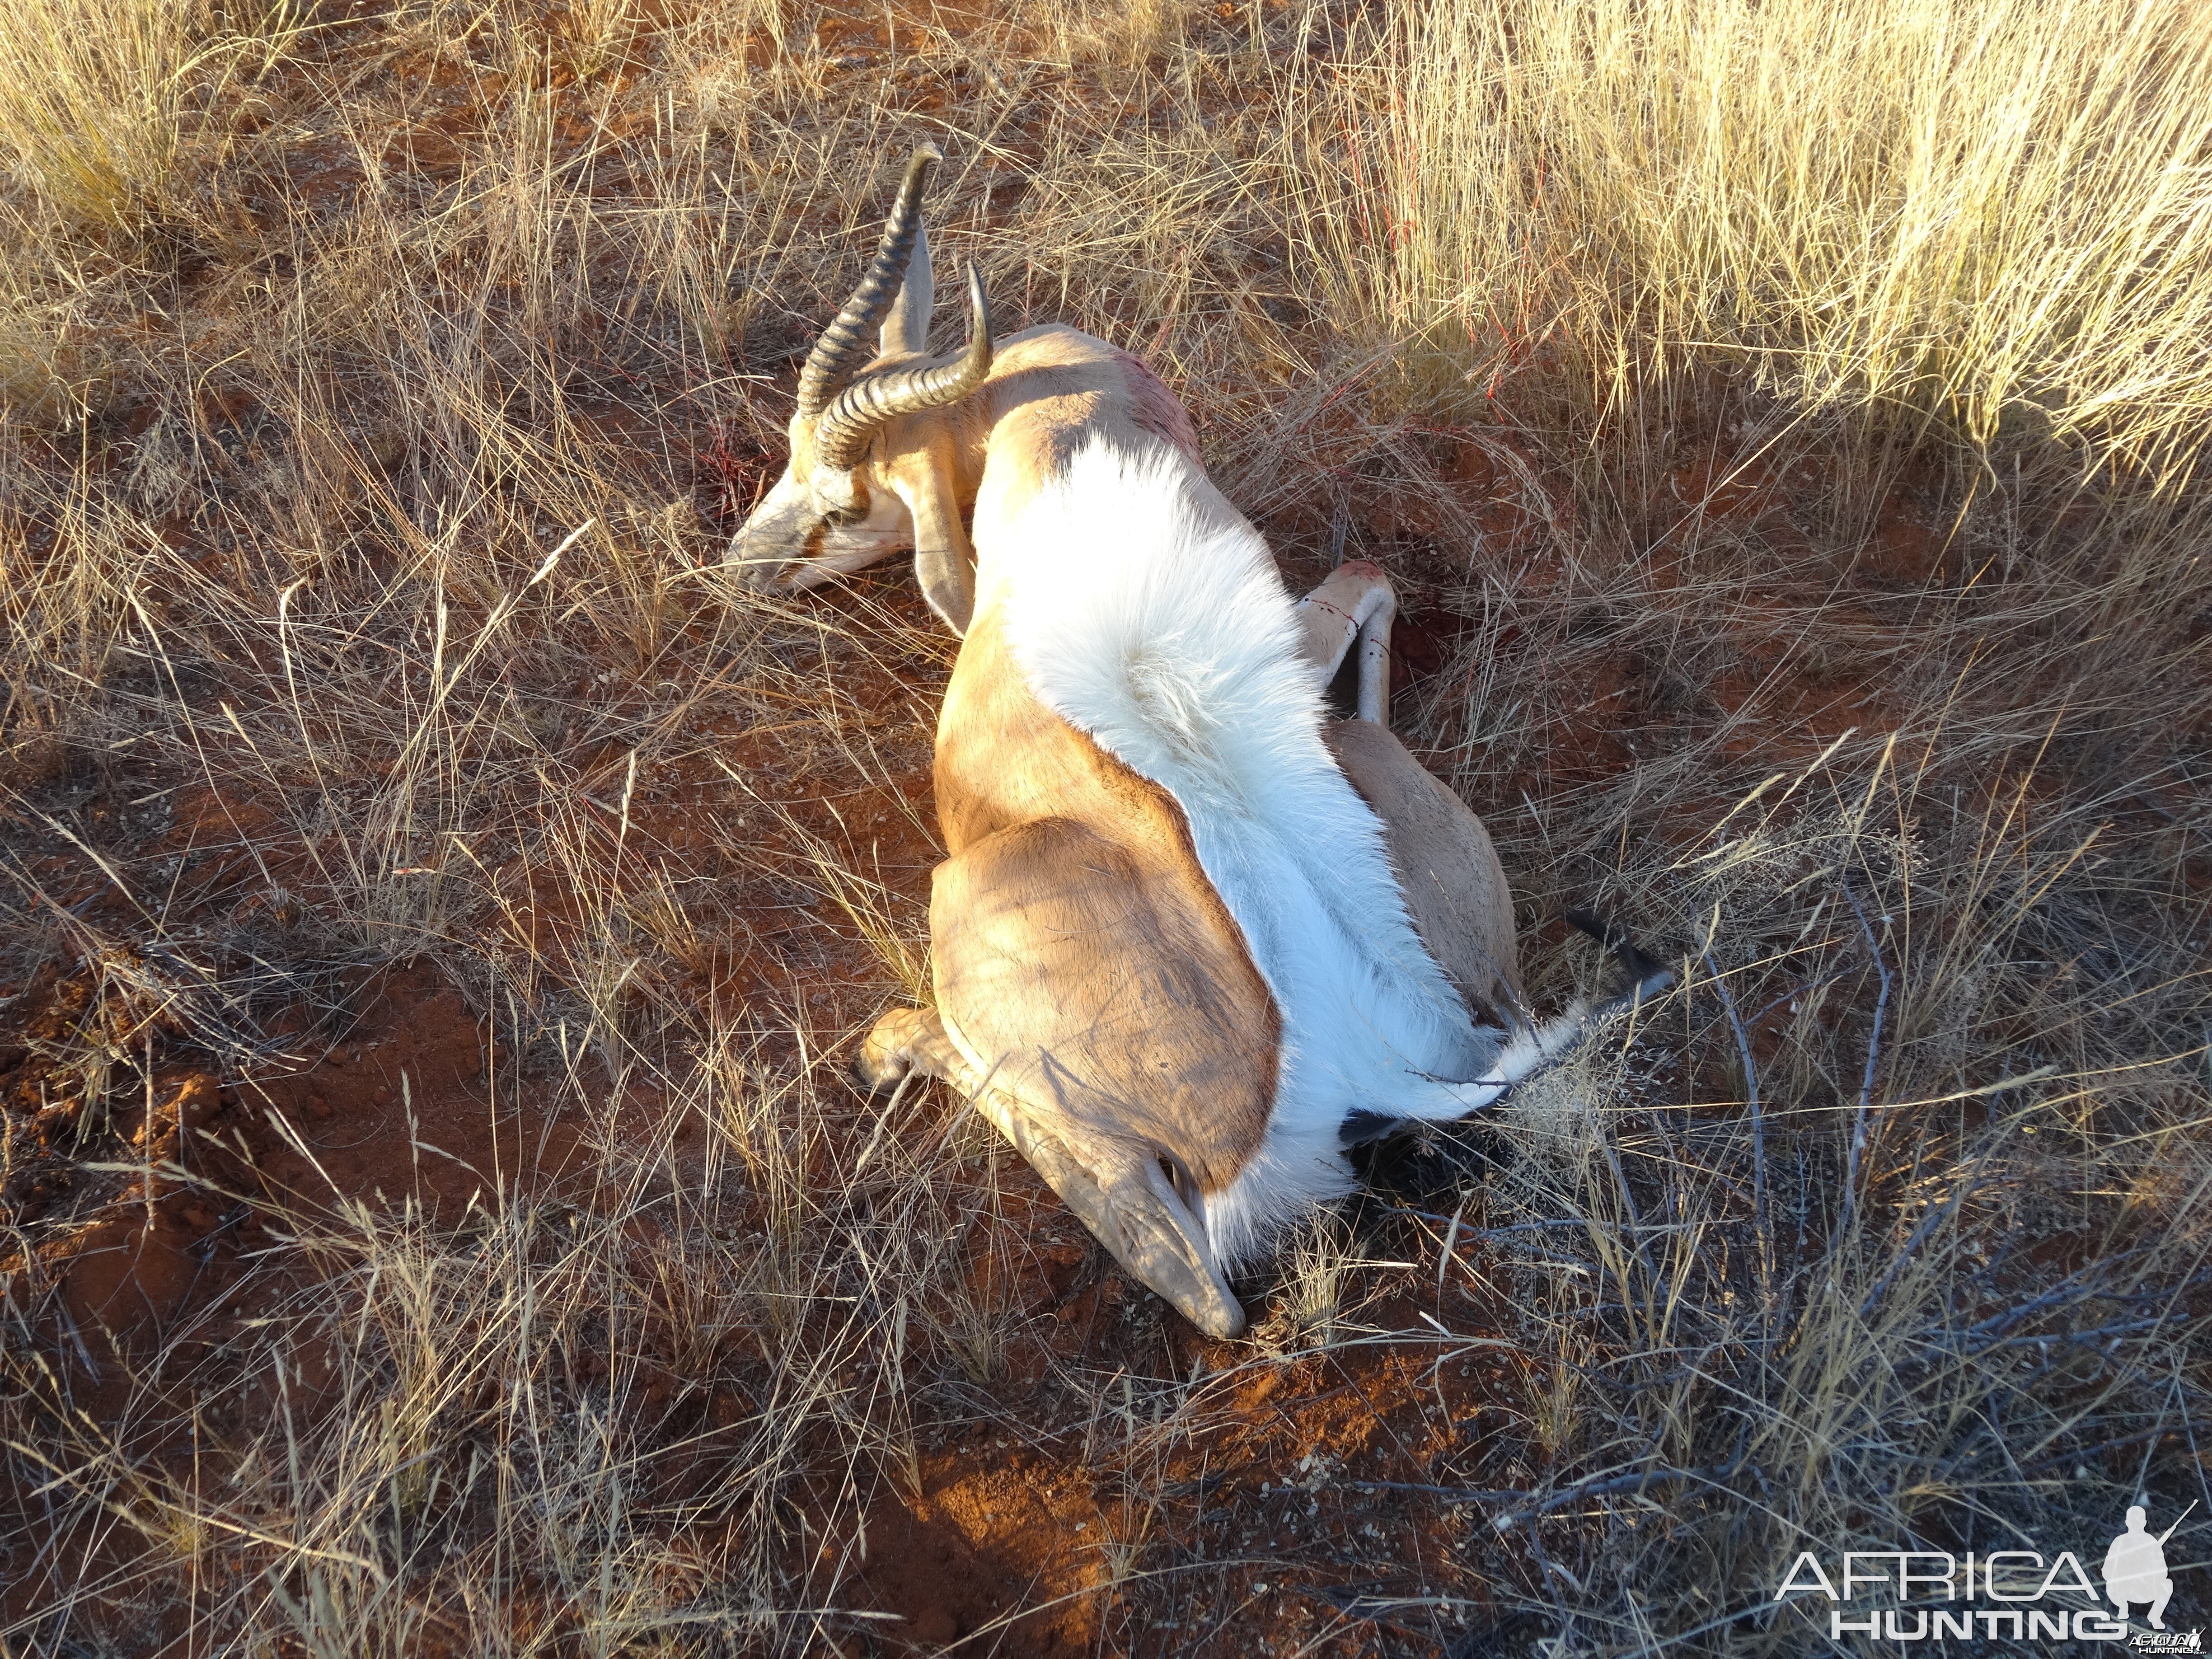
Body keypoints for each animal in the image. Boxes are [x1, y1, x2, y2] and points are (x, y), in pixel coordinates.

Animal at [734, 146, 1663, 1336]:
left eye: (845, 494)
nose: (744, 566)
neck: (1068, 433)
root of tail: (1384, 1061)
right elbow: (1370, 580)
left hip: (968, 910)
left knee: (1200, 1287)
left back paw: (890, 1048)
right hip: (1431, 883)